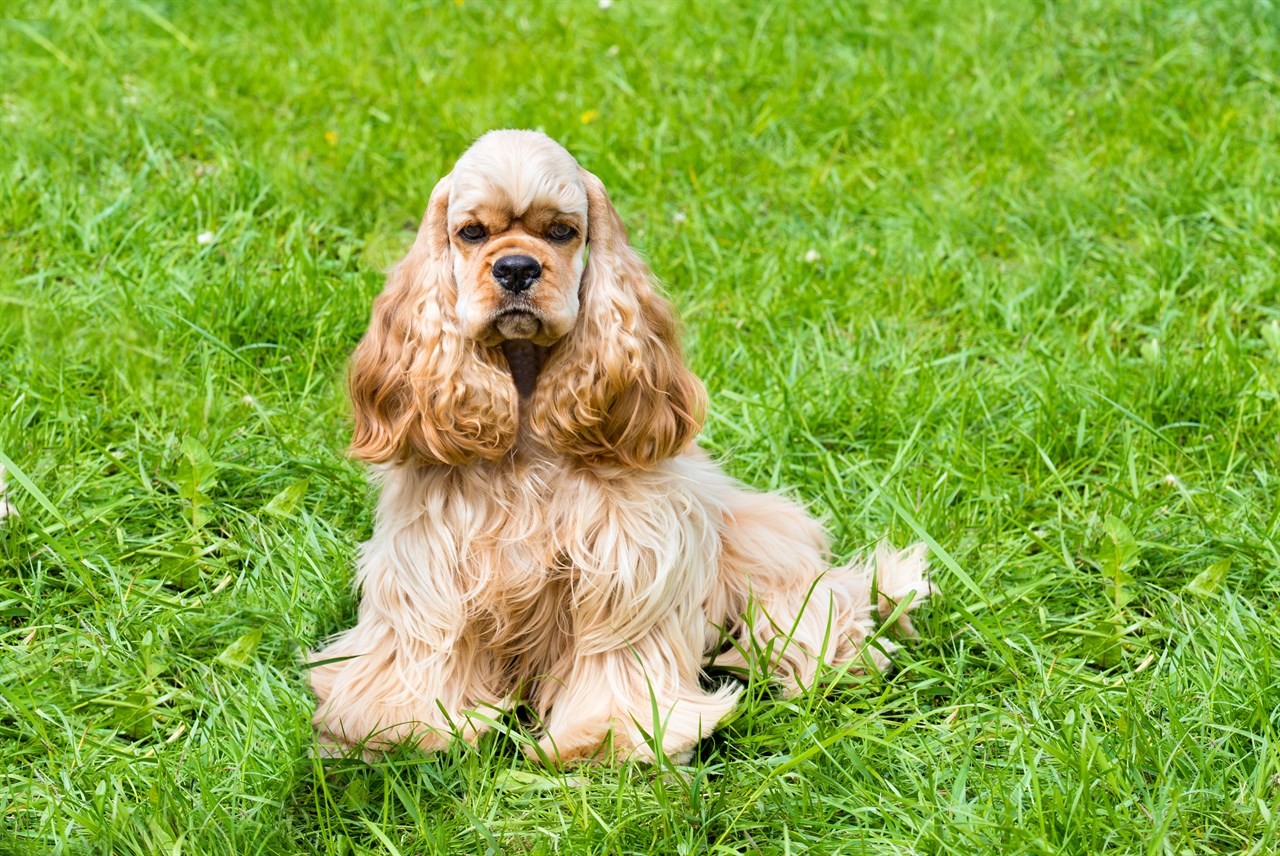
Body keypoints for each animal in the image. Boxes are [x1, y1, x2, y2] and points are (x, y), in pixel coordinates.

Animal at [309, 130, 931, 762]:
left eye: (563, 231)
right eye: (472, 232)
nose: (516, 268)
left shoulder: (626, 564)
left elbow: (614, 660)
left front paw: (606, 738)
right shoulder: (430, 564)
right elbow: (421, 649)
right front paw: (393, 728)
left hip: (767, 553)